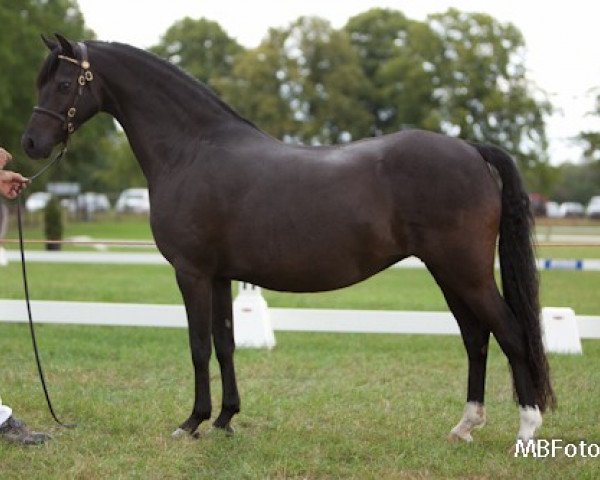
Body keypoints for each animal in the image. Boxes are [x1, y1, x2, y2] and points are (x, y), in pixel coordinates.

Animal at [21, 35, 556, 444]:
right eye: (42, 82)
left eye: (64, 83)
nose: (30, 144)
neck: (192, 149)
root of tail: (470, 148)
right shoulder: (220, 276)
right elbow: (225, 343)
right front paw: (225, 419)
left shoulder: (191, 272)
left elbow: (198, 346)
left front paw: (192, 423)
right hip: (448, 272)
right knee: (476, 337)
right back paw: (465, 426)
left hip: (464, 272)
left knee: (510, 333)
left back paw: (527, 429)